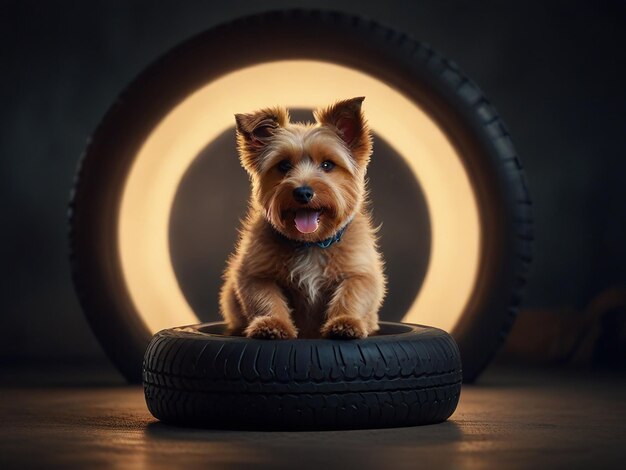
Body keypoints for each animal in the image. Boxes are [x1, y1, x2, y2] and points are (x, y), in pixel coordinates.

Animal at [219, 96, 386, 338]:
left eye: (327, 164)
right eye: (283, 165)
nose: (303, 192)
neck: (311, 244)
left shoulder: (360, 272)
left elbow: (351, 295)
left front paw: (345, 323)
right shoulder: (256, 275)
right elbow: (266, 300)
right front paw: (272, 324)